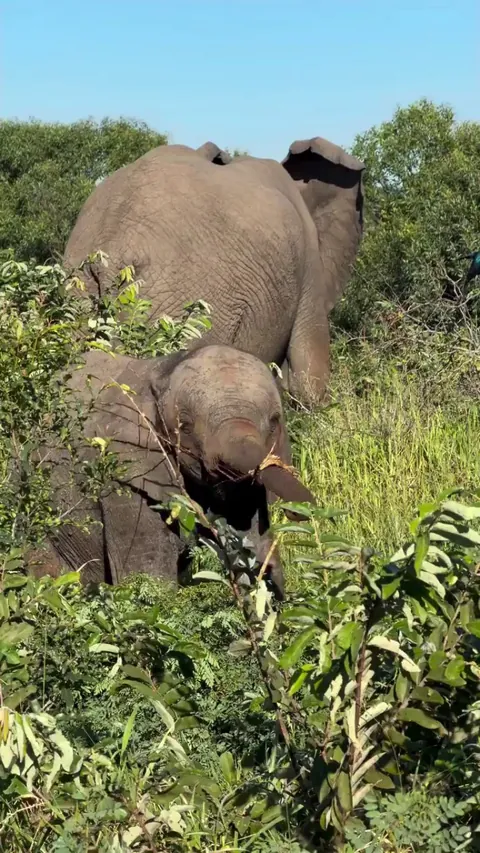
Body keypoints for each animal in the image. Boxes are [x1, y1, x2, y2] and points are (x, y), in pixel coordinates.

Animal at [31, 343, 315, 599]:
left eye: (274, 422)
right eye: (185, 427)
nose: (302, 512)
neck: (163, 370)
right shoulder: (125, 471)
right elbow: (148, 578)